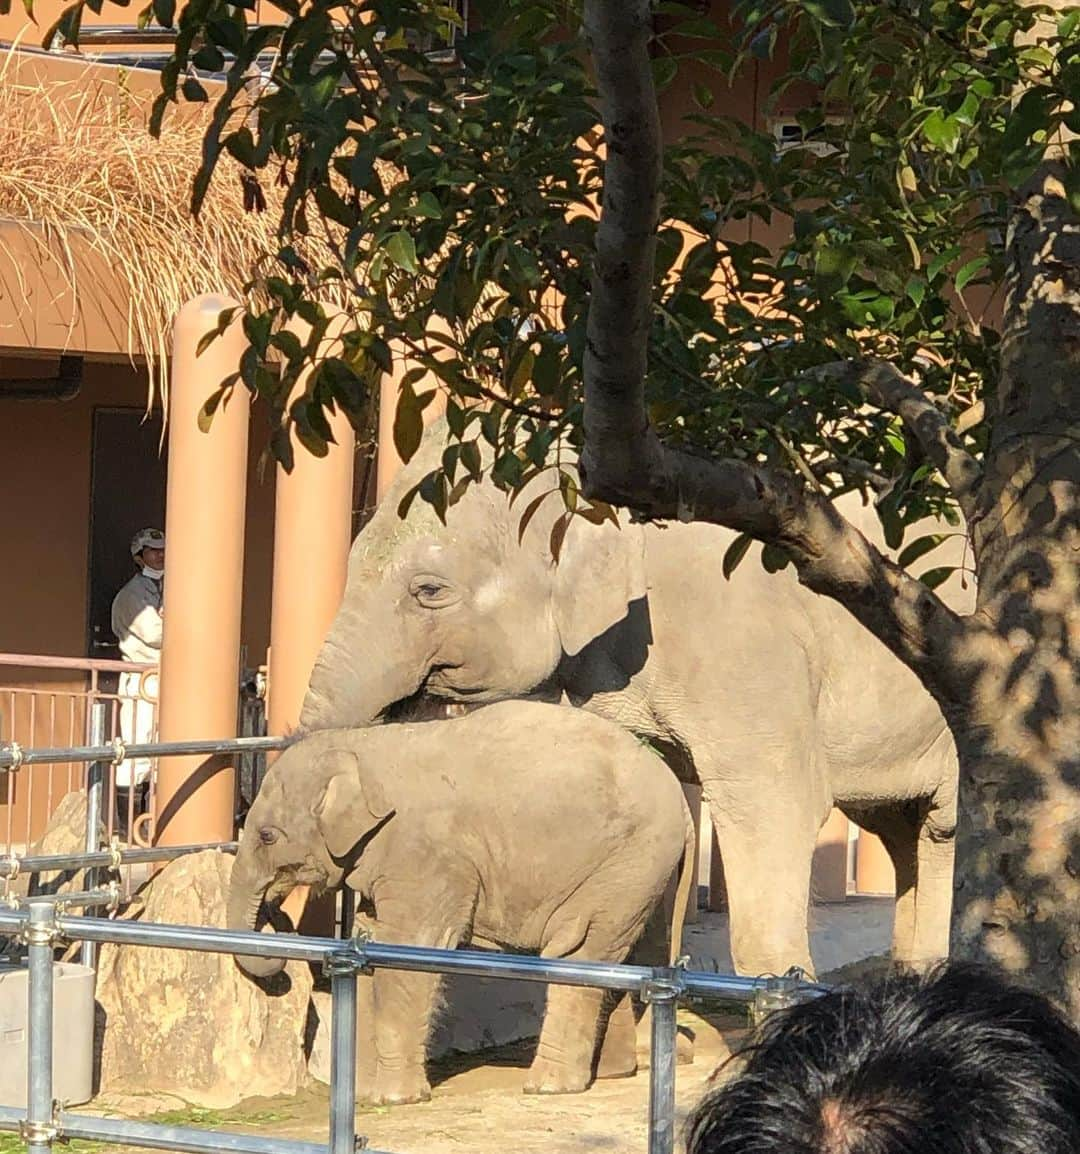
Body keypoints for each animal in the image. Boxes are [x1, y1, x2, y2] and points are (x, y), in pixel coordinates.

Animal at [231, 697, 696, 1103]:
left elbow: (411, 950)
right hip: (638, 876)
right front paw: (364, 1097)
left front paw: (394, 1098)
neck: (364, 745)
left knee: (577, 951)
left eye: (267, 835)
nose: (279, 918)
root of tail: (684, 804)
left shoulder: (428, 854)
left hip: (626, 864)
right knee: (626, 952)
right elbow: (371, 943)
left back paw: (549, 1087)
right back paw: (611, 1072)